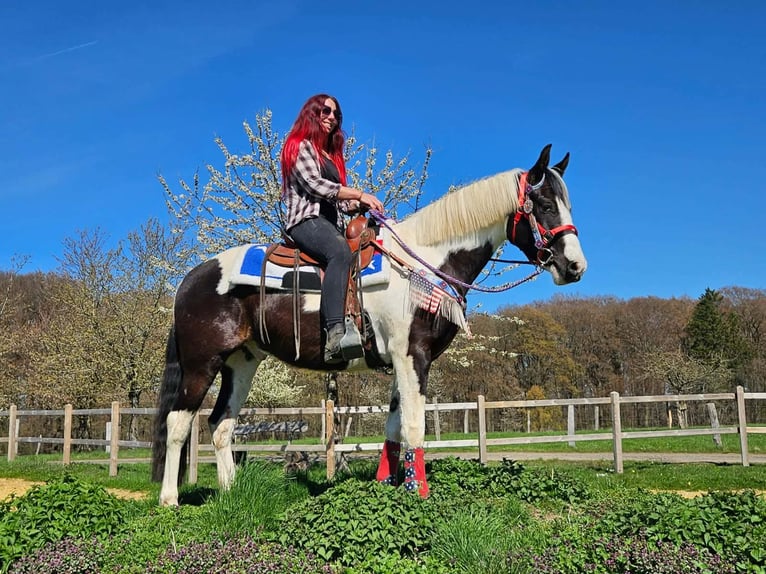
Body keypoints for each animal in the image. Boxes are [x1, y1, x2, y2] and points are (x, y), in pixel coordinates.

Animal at [151, 144, 587, 505]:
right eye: (543, 204)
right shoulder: (413, 356)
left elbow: (393, 427)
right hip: (201, 363)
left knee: (220, 424)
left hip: (241, 363)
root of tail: (191, 278)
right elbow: (413, 426)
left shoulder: (400, 360)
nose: (575, 267)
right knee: (178, 423)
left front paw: (387, 485)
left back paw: (230, 492)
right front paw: (418, 493)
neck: (422, 263)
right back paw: (169, 500)